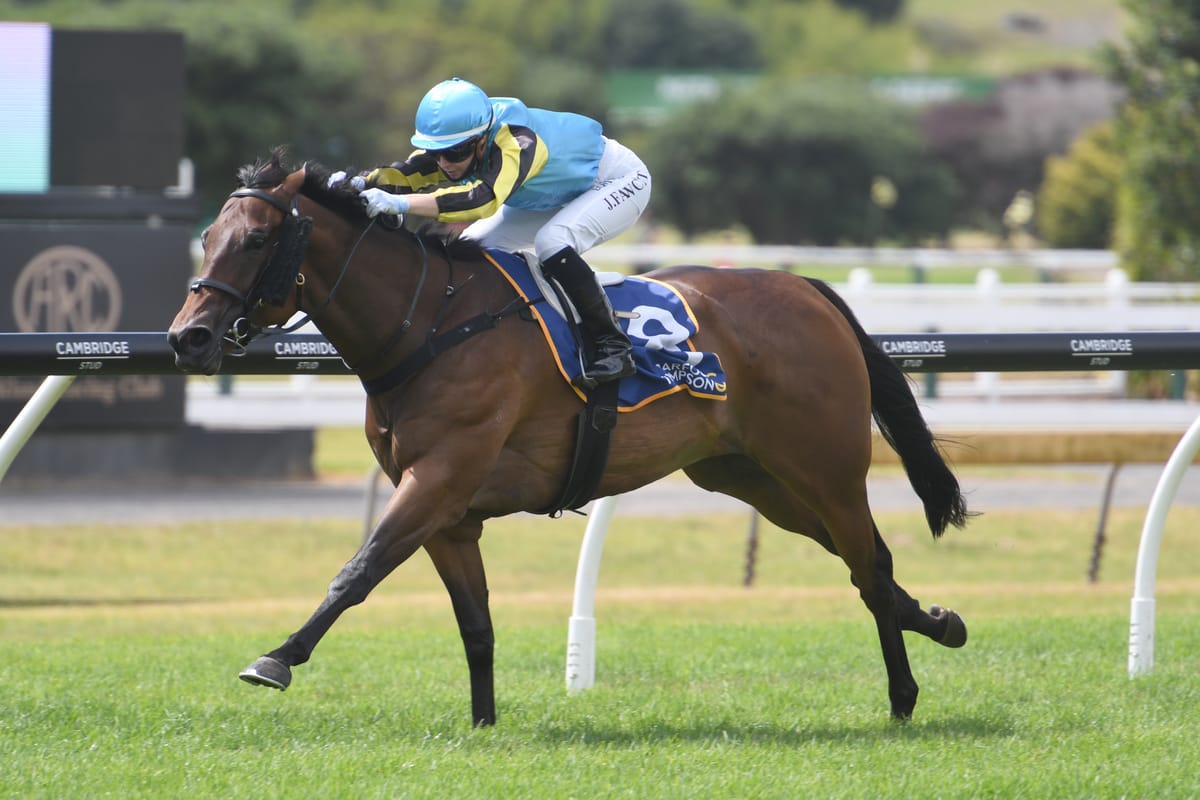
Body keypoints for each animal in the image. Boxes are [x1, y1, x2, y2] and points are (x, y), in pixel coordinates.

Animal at [167, 149, 970, 727]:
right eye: (206, 238)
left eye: (258, 239)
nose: (187, 338)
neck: (429, 322)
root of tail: (808, 287)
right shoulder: (449, 513)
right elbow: (476, 623)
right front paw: (483, 724)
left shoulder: (439, 480)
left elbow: (357, 570)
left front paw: (277, 657)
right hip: (748, 476)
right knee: (867, 563)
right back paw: (940, 621)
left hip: (823, 466)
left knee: (866, 566)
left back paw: (903, 696)